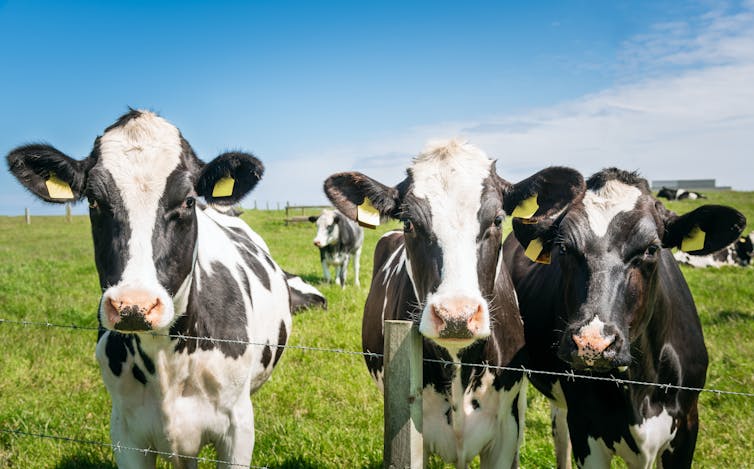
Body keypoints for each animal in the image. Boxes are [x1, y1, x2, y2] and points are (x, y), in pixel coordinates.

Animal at [5, 109, 324, 464]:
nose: (134, 305)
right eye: (93, 201)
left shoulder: (238, 428)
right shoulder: (125, 433)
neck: (165, 359)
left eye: (187, 201)